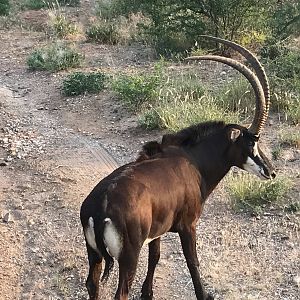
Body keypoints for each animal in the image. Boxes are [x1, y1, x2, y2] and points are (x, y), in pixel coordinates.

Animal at [80, 35, 276, 300]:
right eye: (251, 143)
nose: (270, 171)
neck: (193, 161)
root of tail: (100, 207)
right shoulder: (188, 226)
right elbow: (193, 262)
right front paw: (204, 295)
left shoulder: (158, 231)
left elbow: (155, 256)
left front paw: (148, 293)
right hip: (128, 256)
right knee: (121, 292)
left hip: (94, 254)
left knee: (92, 283)